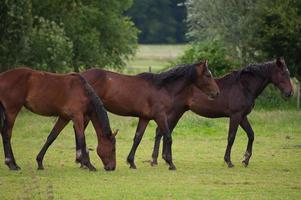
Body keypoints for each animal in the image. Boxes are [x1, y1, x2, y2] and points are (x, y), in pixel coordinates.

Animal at [39, 60, 218, 170]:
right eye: (208, 75)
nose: (217, 93)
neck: (161, 88)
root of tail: (81, 77)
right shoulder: (160, 116)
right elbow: (168, 136)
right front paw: (170, 162)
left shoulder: (145, 118)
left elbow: (137, 138)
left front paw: (131, 162)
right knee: (78, 132)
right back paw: (82, 161)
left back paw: (81, 161)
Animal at [151, 57, 292, 167]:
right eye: (283, 74)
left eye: (288, 73)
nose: (289, 93)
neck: (244, 86)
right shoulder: (235, 116)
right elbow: (231, 137)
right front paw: (228, 161)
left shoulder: (242, 116)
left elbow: (251, 134)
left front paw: (245, 159)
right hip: (175, 113)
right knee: (161, 132)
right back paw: (158, 159)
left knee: (163, 132)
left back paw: (161, 159)